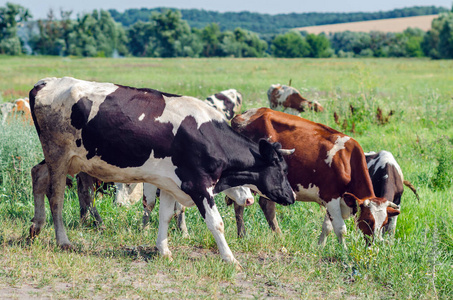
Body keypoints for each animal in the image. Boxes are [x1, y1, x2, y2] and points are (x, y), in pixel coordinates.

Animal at [30, 77, 294, 264]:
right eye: (281, 170)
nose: (291, 197)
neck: (209, 137)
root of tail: (46, 82)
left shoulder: (169, 183)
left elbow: (166, 215)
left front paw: (163, 250)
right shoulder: (198, 185)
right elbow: (215, 223)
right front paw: (231, 259)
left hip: (67, 159)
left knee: (38, 175)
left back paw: (36, 227)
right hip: (58, 155)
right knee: (56, 196)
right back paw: (63, 240)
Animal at [231, 108, 398, 246]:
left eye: (384, 223)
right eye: (368, 220)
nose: (373, 246)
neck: (348, 161)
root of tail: (244, 115)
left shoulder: (334, 201)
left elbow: (327, 227)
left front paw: (320, 247)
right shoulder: (331, 196)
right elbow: (340, 229)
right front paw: (344, 252)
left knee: (267, 205)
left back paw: (279, 237)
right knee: (240, 204)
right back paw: (242, 236)